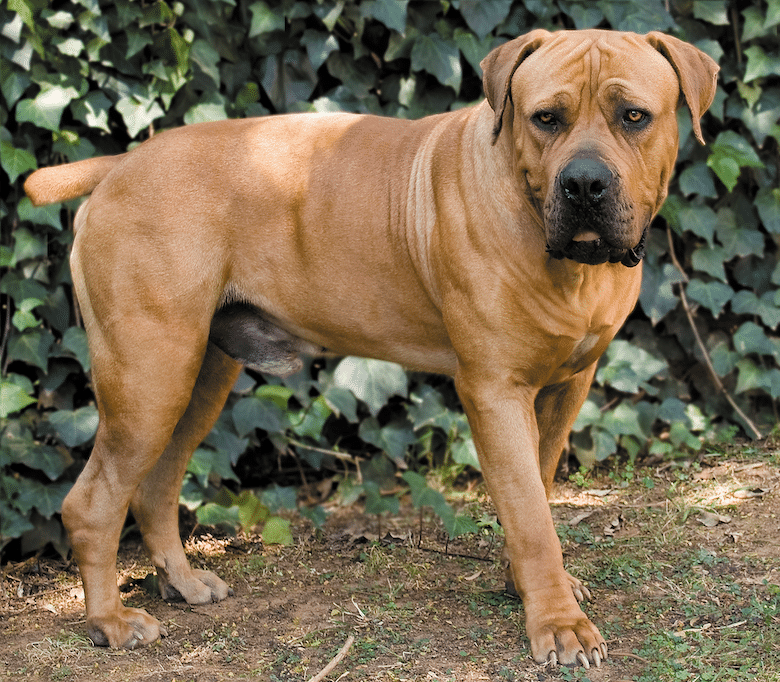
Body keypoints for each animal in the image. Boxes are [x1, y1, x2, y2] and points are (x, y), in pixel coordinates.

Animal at [22, 29, 720, 668]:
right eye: (546, 118)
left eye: (634, 116)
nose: (584, 184)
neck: (568, 265)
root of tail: (123, 163)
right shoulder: (494, 391)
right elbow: (528, 512)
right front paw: (557, 622)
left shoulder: (567, 387)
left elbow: (538, 493)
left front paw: (527, 587)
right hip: (148, 379)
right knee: (91, 503)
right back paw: (110, 621)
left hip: (198, 376)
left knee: (154, 486)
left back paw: (182, 583)